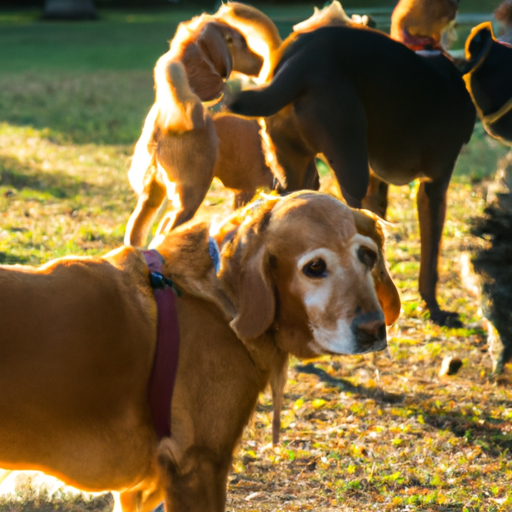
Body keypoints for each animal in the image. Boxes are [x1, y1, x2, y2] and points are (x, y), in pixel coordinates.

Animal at [0, 191, 388, 508]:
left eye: (368, 256)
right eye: (315, 267)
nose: (375, 329)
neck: (217, 298)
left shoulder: (141, 489)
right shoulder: (198, 465)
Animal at [122, 15, 262, 247]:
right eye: (241, 41)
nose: (262, 61)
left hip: (151, 196)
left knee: (136, 234)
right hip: (190, 196)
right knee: (165, 229)